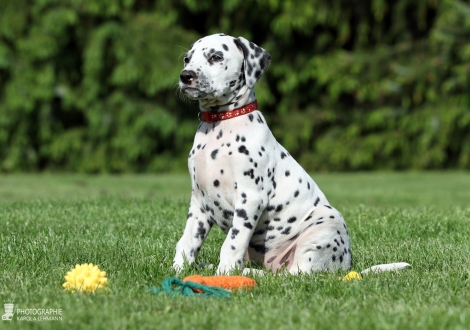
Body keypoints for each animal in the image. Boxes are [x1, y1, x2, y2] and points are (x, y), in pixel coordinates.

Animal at [172, 33, 348, 276]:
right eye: (187, 59)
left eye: (216, 57)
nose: (185, 75)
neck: (219, 126)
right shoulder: (199, 201)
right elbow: (188, 241)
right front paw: (178, 269)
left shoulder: (250, 198)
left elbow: (232, 242)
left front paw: (225, 273)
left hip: (327, 222)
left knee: (297, 273)